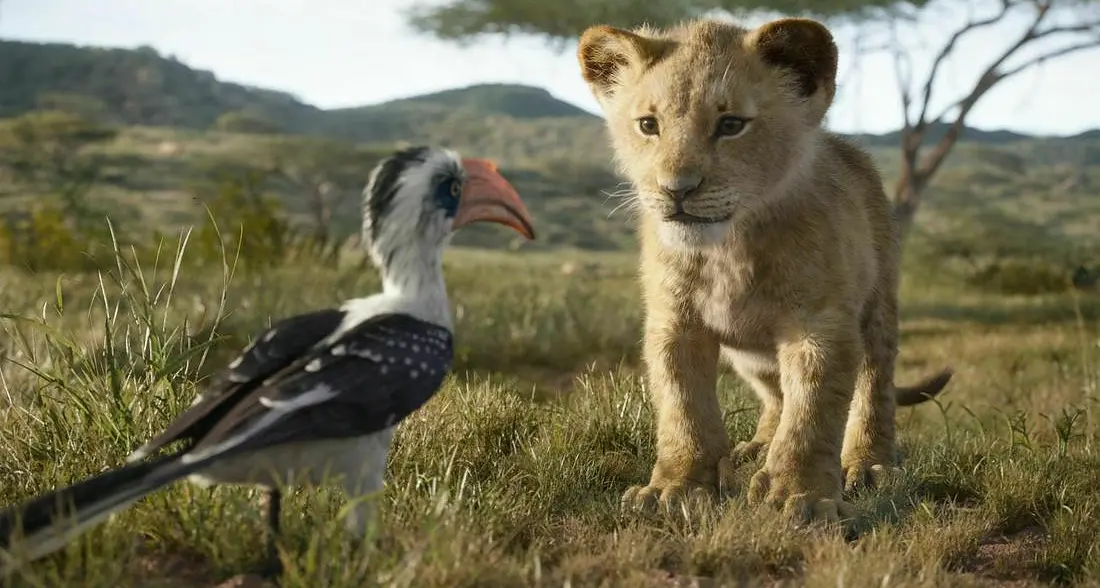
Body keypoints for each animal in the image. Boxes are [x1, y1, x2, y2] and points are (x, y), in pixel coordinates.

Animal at [575, 16, 953, 523]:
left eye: (731, 124)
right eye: (648, 125)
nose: (676, 189)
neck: (728, 250)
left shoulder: (820, 324)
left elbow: (812, 413)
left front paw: (802, 496)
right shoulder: (674, 323)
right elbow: (683, 407)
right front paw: (675, 488)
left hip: (878, 308)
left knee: (874, 385)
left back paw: (869, 464)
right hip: (750, 355)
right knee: (776, 394)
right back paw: (754, 448)